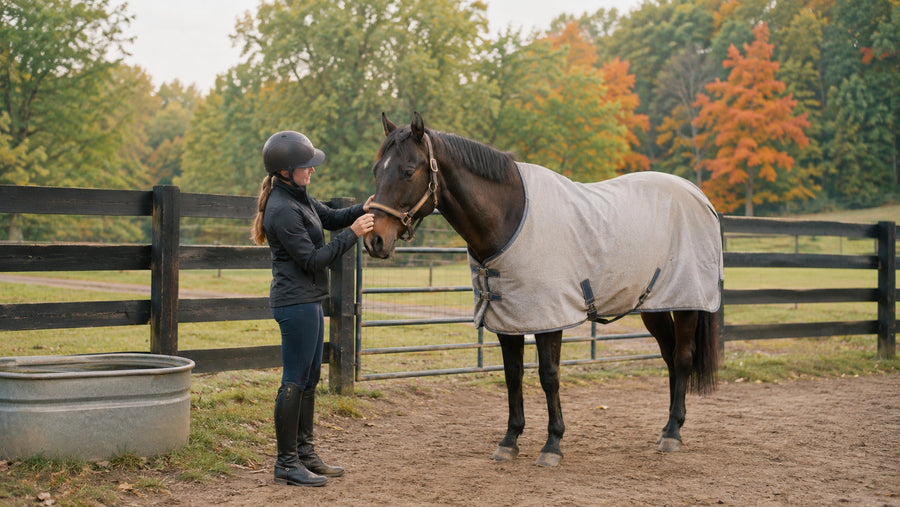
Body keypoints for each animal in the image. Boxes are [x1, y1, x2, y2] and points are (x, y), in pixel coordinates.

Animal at [363, 112, 723, 467]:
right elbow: (512, 375)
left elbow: (549, 376)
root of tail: (699, 196)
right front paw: (509, 440)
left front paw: (553, 444)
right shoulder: (507, 317)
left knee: (682, 357)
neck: (509, 217)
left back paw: (672, 433)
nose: (374, 240)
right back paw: (667, 428)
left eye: (408, 171)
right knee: (669, 356)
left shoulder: (549, 316)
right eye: (376, 169)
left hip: (687, 301)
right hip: (653, 305)